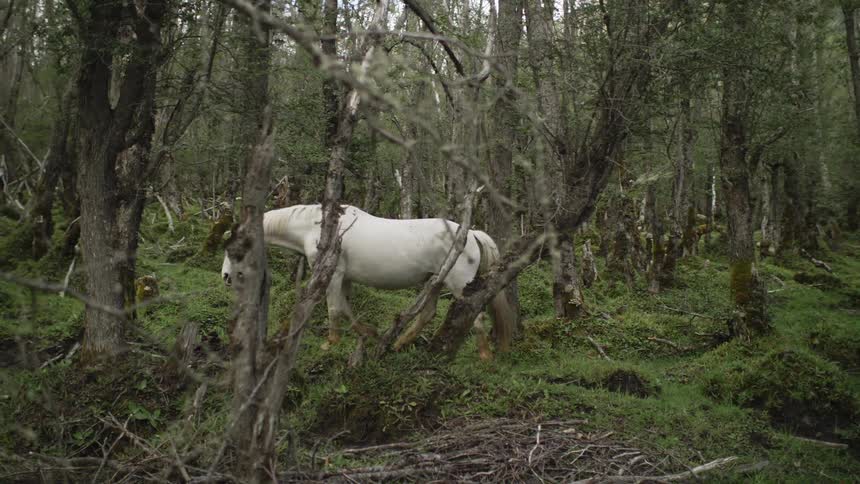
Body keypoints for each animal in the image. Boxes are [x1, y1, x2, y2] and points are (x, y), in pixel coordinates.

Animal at [221, 204, 517, 359]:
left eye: (234, 250)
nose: (225, 277)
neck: (317, 228)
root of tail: (472, 233)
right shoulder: (344, 279)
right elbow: (345, 308)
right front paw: (367, 334)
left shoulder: (332, 275)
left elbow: (333, 308)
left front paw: (330, 343)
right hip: (434, 281)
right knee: (428, 313)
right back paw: (398, 343)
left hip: (458, 285)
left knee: (475, 315)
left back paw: (484, 356)